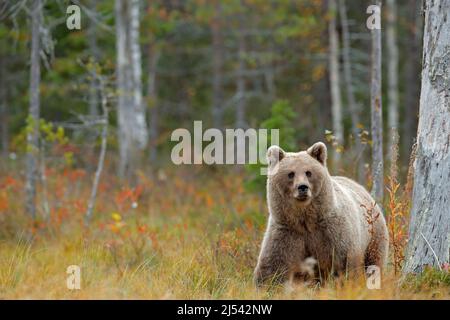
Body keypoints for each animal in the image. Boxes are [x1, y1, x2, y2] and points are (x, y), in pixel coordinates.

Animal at [255, 141, 388, 286]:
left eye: (308, 172)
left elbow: (344, 262)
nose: (302, 187)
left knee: (374, 262)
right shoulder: (287, 231)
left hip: (374, 235)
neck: (306, 220)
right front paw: (268, 284)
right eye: (291, 173)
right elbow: (274, 265)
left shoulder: (333, 232)